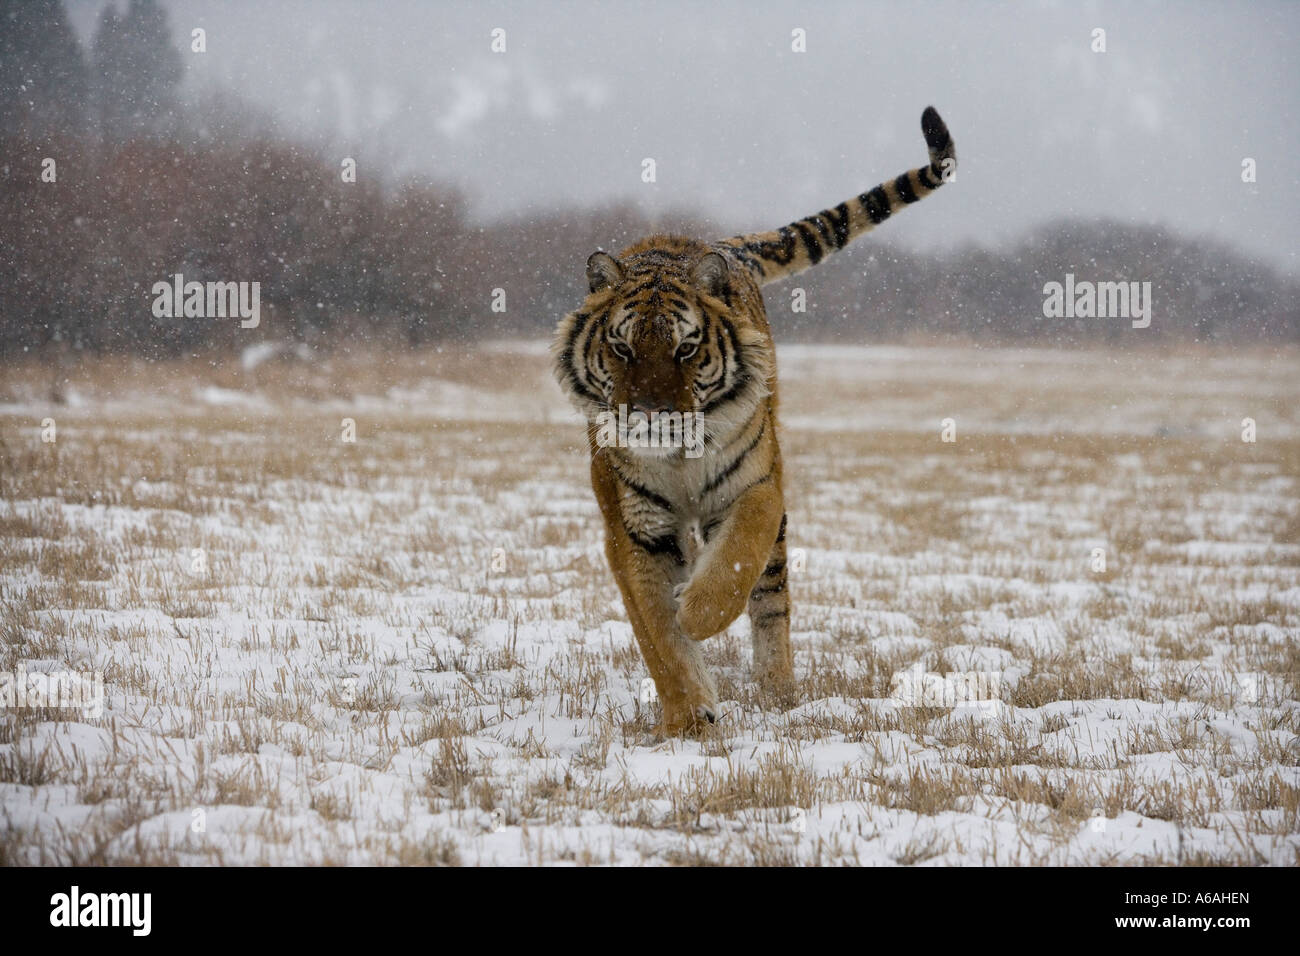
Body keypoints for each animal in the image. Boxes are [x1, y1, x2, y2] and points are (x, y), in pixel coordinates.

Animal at [548, 104, 956, 738]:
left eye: (686, 349)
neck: (679, 456)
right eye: (622, 348)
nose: (650, 416)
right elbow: (656, 633)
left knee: (772, 600)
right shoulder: (633, 526)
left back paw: (777, 690)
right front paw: (688, 717)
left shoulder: (758, 485)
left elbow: (733, 565)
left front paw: (696, 612)